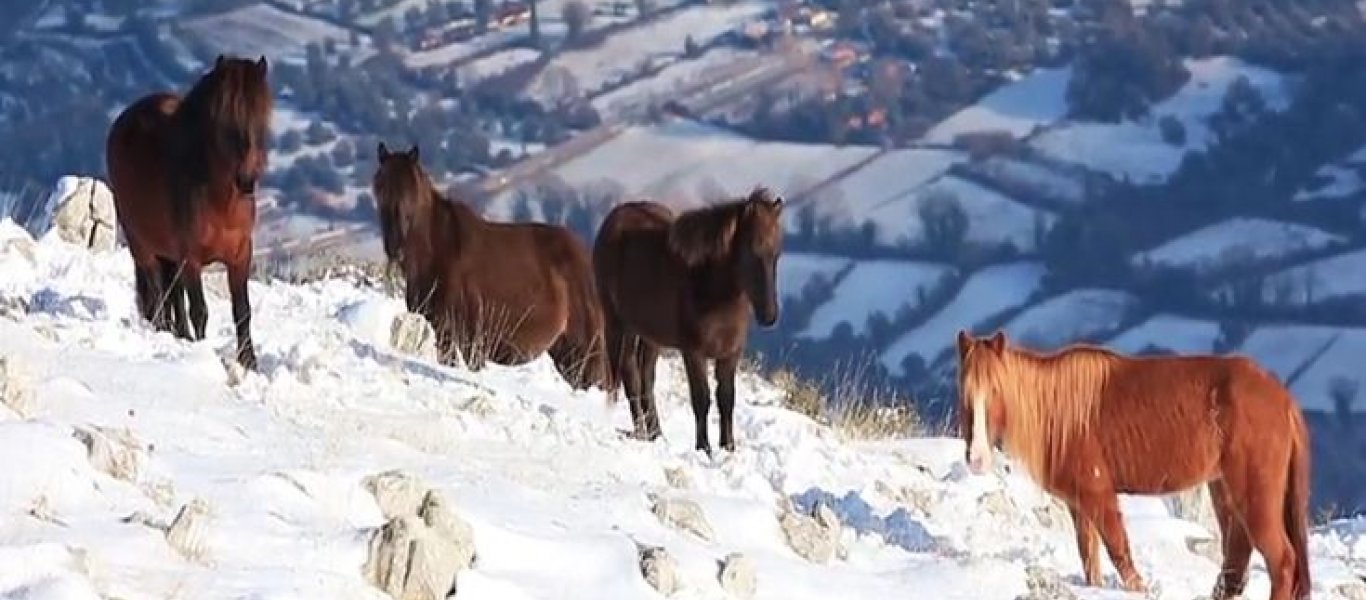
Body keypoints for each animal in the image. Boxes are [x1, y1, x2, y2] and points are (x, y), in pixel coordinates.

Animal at [105, 53, 273, 369]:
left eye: (262, 120)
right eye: (224, 122)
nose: (246, 181)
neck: (221, 201)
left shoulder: (240, 255)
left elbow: (242, 311)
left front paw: (249, 363)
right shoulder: (191, 258)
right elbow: (199, 310)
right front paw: (201, 351)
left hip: (168, 252)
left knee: (172, 294)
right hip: (142, 246)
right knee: (160, 294)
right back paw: (166, 332)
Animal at [374, 143, 609, 393]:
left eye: (411, 192)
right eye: (380, 189)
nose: (395, 248)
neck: (437, 249)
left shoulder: (471, 336)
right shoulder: (443, 330)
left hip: (587, 350)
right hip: (566, 353)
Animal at [592, 191, 786, 456]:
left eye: (776, 255)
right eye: (751, 252)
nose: (769, 315)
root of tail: (612, 220)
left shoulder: (730, 354)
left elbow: (726, 398)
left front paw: (728, 447)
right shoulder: (693, 353)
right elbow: (701, 398)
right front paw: (704, 447)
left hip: (650, 336)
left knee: (645, 377)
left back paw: (656, 433)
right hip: (619, 323)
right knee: (627, 371)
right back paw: (640, 430)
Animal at [956, 330, 1305, 598]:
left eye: (996, 390)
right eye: (965, 393)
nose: (976, 459)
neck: (1061, 414)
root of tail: (1283, 397)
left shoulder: (1098, 495)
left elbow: (1119, 551)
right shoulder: (1079, 505)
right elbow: (1090, 559)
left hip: (1254, 496)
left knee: (1282, 562)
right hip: (1224, 489)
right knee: (1236, 561)